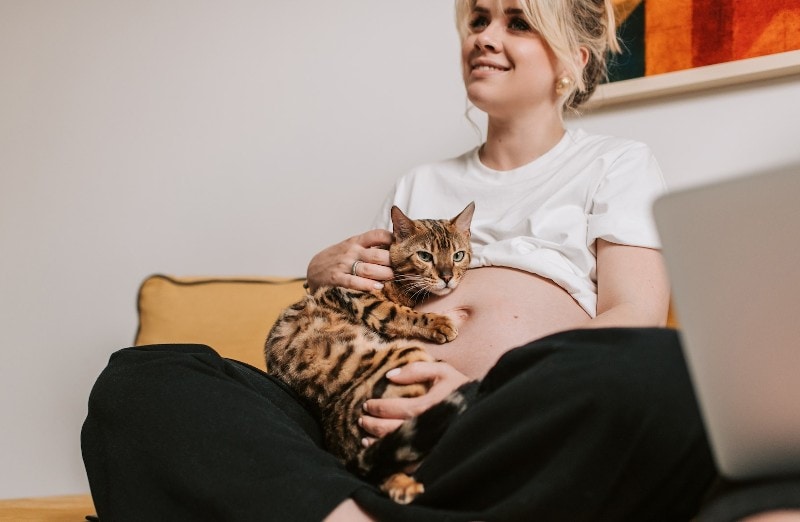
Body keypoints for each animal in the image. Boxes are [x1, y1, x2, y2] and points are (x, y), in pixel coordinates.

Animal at [266, 201, 476, 502]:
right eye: (425, 256)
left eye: (458, 255)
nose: (447, 277)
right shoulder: (363, 298)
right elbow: (402, 314)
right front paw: (438, 322)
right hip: (407, 357)